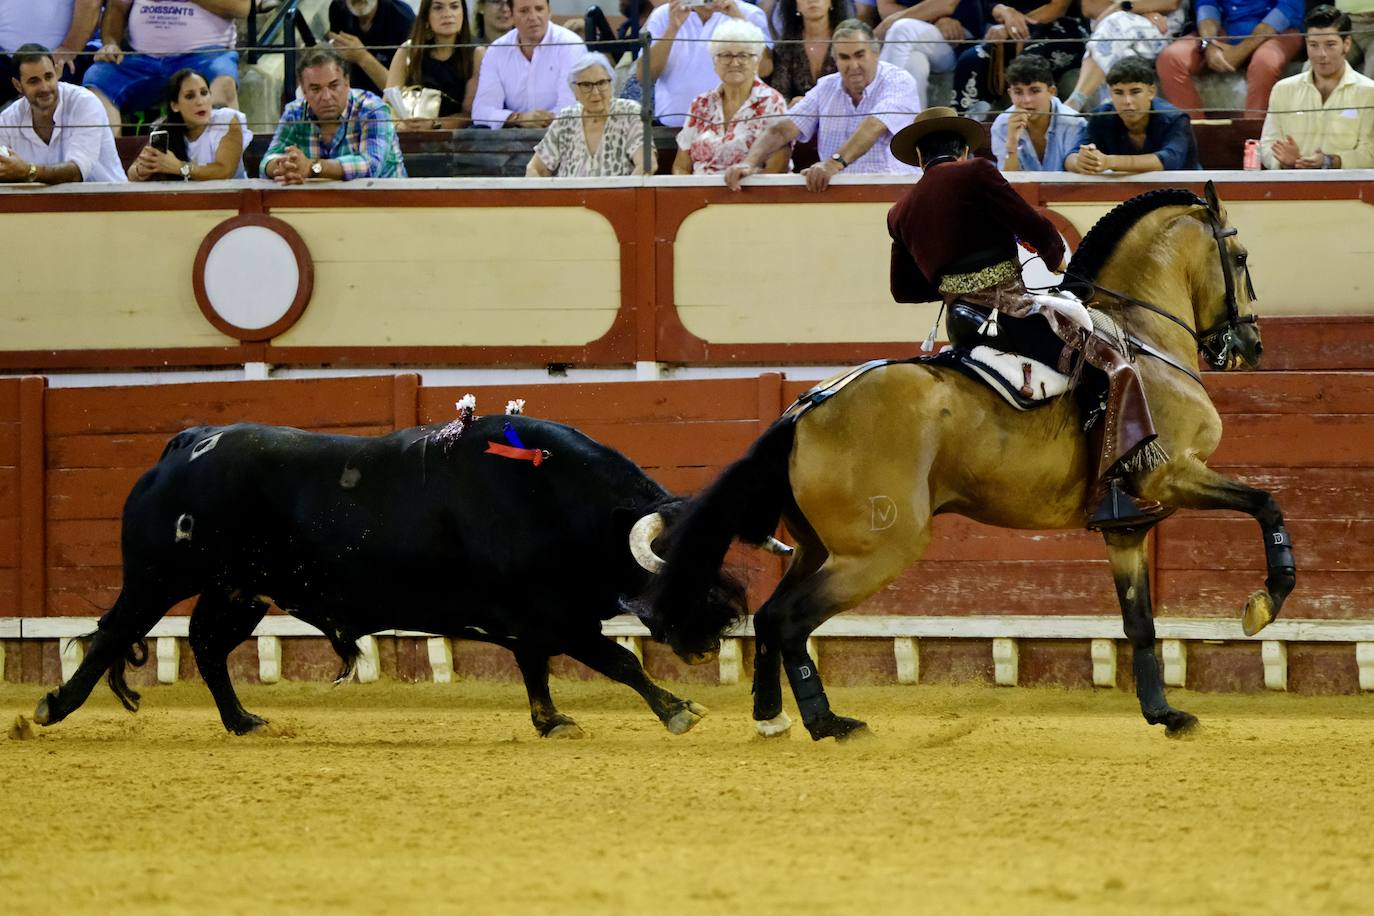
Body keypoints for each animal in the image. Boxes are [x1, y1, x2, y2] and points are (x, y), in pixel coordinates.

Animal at [32, 414, 747, 736]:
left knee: (206, 643)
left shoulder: (530, 623)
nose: (718, 631)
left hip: (239, 590)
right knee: (112, 632)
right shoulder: (553, 617)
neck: (554, 498)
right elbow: (618, 661)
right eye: (684, 570)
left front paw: (552, 722)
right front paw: (678, 709)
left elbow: (536, 672)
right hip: (158, 576)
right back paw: (52, 707)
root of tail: (187, 444)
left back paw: (245, 722)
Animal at [648, 182, 1291, 741]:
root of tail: (806, 408)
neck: (1142, 338)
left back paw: (772, 719)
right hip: (878, 550)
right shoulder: (1172, 471)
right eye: (1241, 256)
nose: (1251, 346)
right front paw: (1263, 604)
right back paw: (828, 723)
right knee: (789, 620)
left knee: (768, 615)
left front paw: (1163, 714)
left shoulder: (1127, 527)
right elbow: (1267, 504)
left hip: (819, 548)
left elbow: (1140, 622)